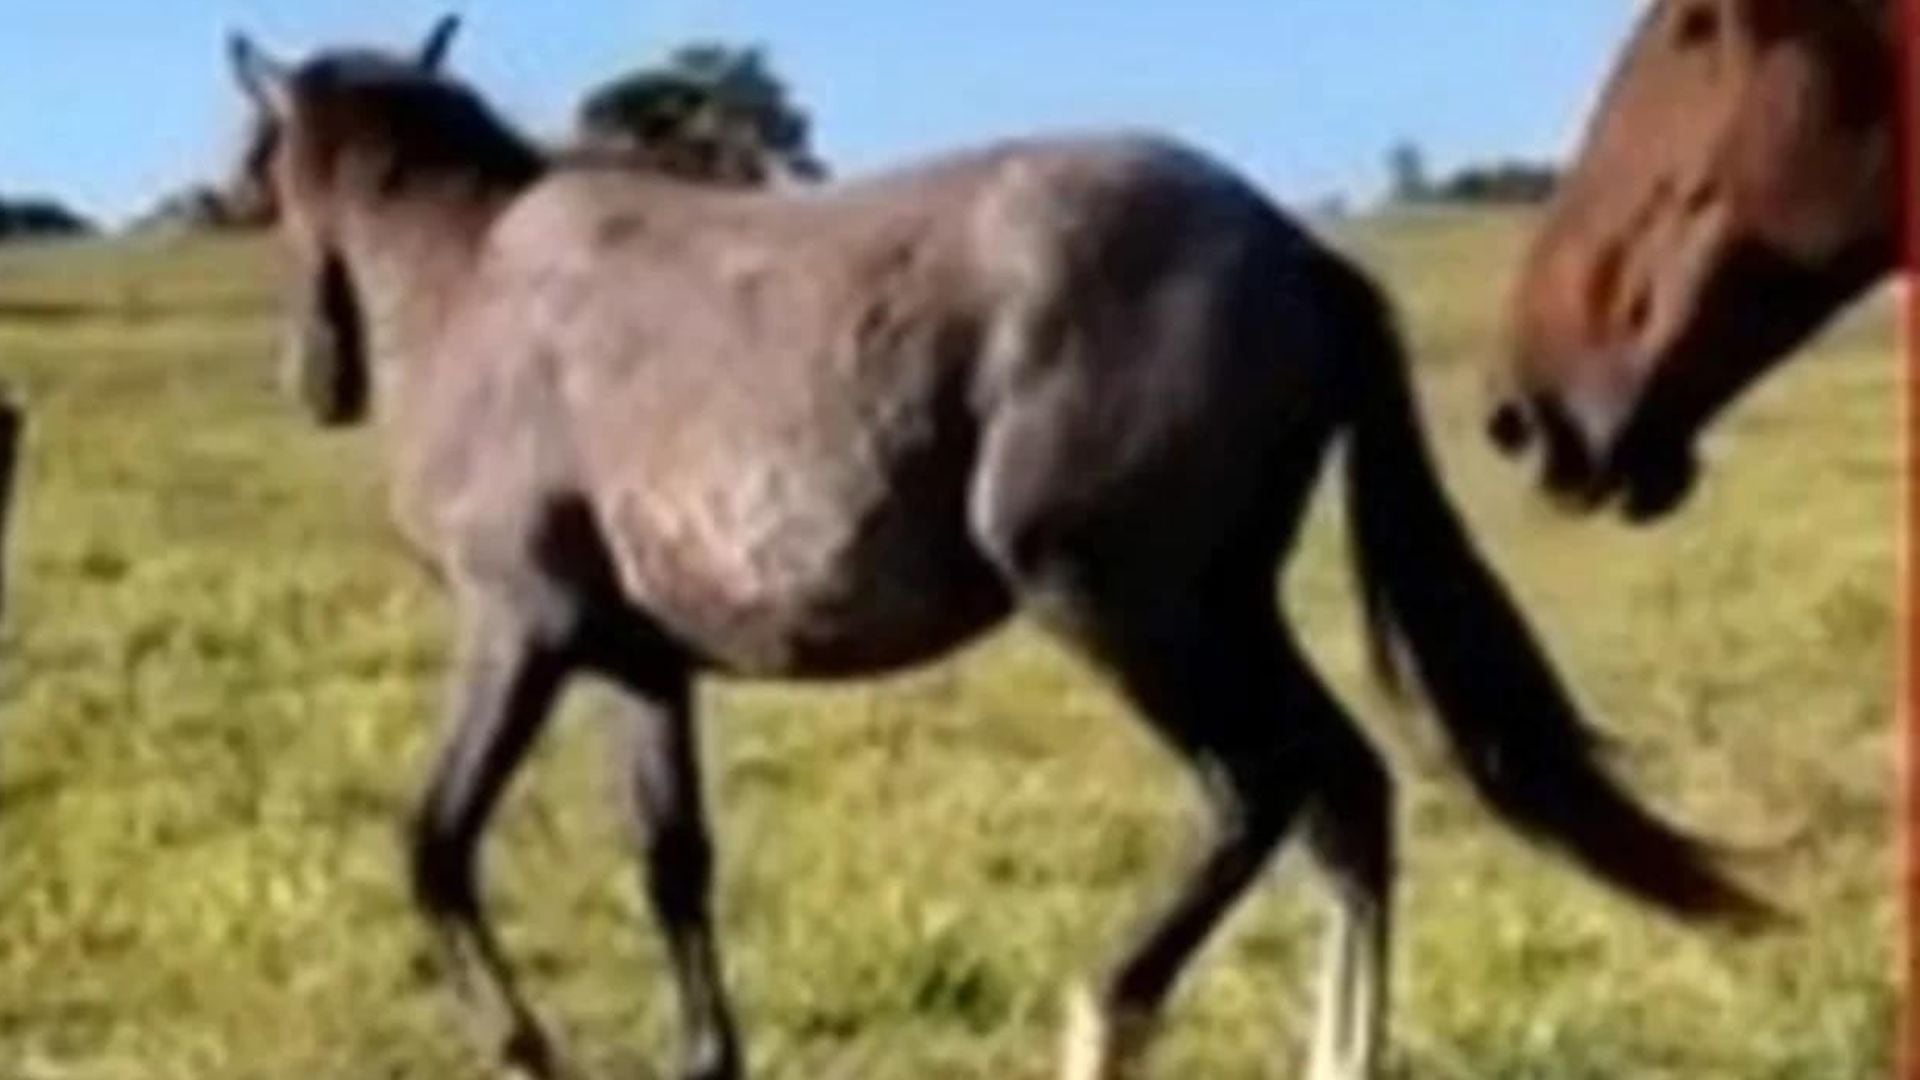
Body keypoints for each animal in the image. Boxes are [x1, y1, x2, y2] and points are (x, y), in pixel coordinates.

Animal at [228, 18, 1766, 1076]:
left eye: (258, 166)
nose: (315, 380)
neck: (479, 293)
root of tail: (1298, 254)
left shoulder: (519, 633)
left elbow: (436, 847)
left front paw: (523, 1046)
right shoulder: (641, 670)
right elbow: (674, 869)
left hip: (1125, 607)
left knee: (1263, 790)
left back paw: (1108, 1014)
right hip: (1222, 606)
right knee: (1348, 796)